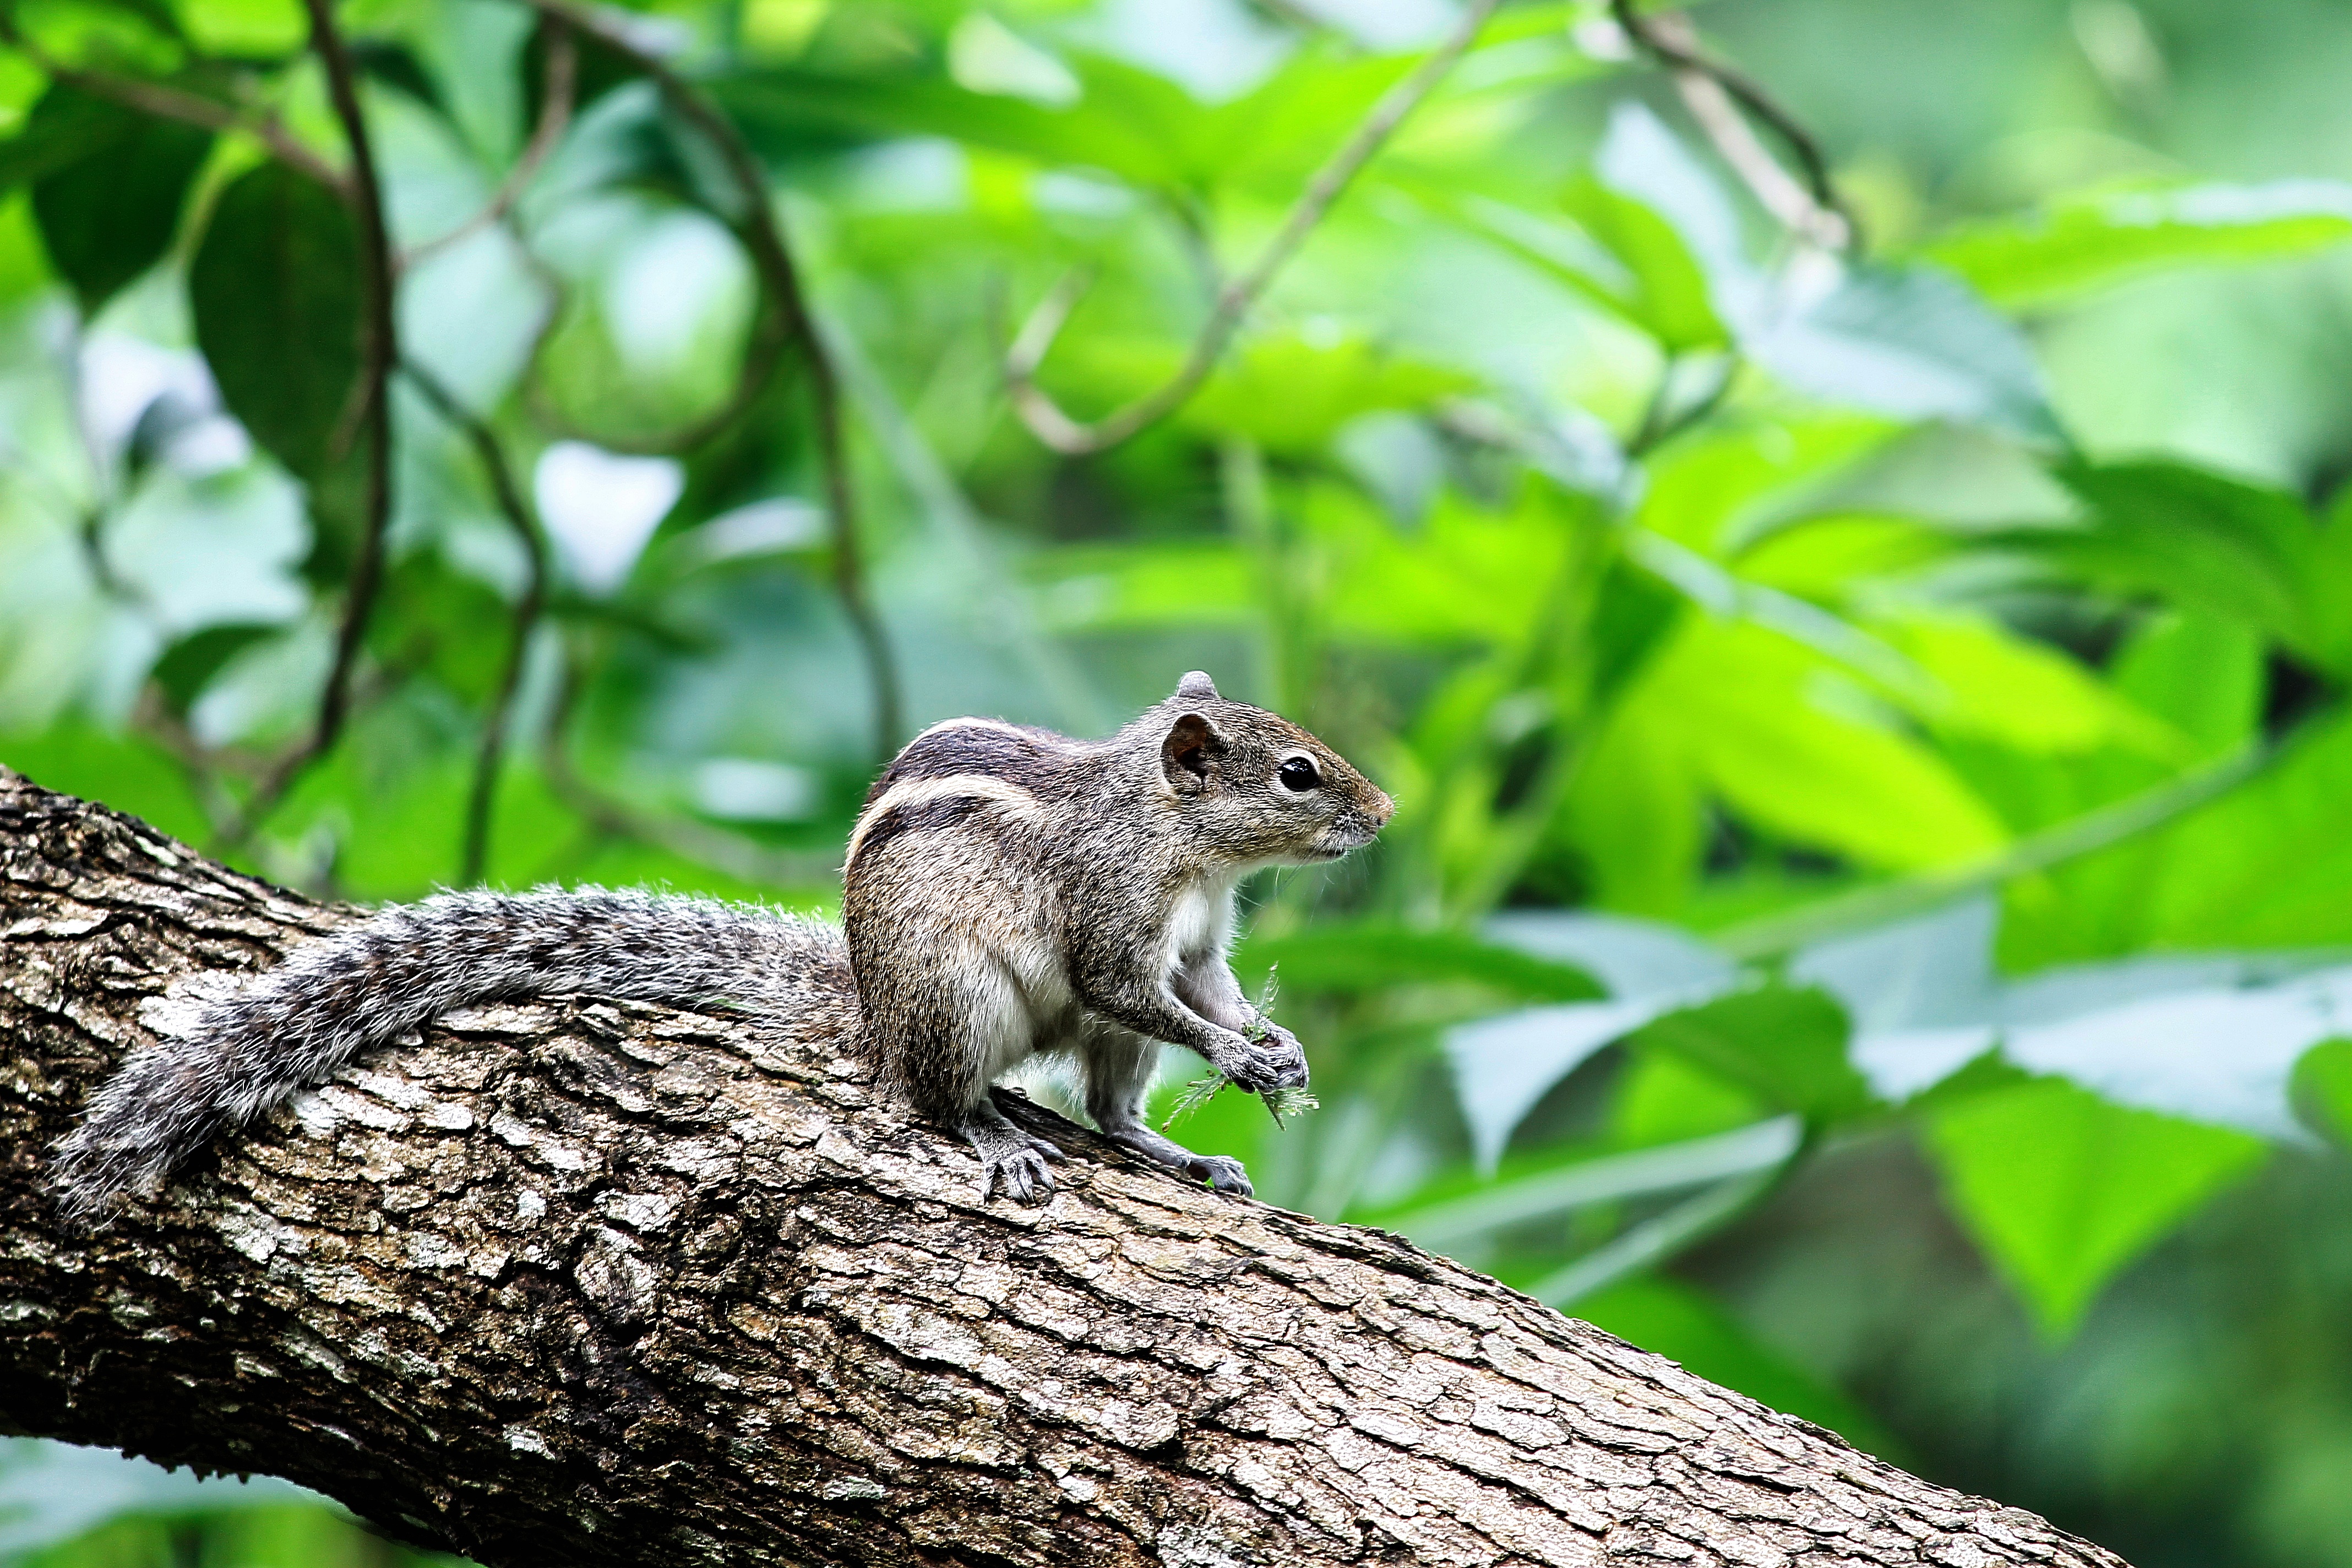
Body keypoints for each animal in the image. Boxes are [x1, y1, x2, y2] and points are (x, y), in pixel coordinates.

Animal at [50, 667, 1392, 1222]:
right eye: (1299, 771)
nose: (1383, 812)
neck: (1185, 843)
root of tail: (871, 1009)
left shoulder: (1199, 941)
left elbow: (1204, 994)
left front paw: (1274, 1045)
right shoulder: (1114, 918)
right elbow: (1136, 984)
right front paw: (1255, 1057)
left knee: (1112, 1106)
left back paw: (1178, 1152)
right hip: (954, 996)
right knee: (938, 1093)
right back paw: (997, 1134)